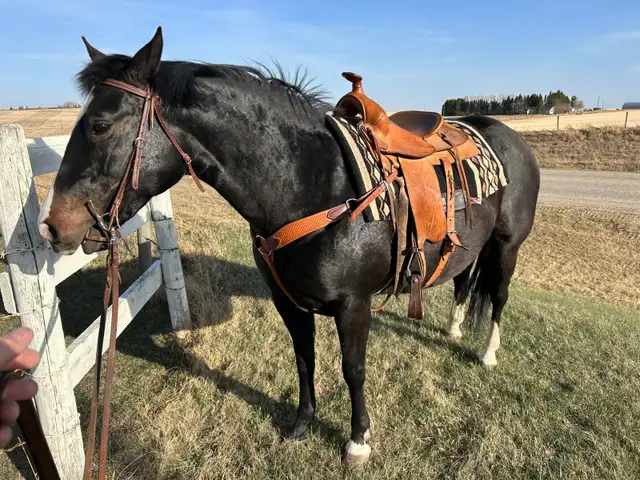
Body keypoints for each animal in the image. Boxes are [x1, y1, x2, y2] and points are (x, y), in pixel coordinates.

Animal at [38, 27, 540, 466]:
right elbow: (304, 360)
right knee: (461, 282)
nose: (52, 227)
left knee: (497, 296)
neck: (313, 186)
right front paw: (301, 425)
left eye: (100, 126)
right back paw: (454, 329)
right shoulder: (288, 301)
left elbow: (353, 368)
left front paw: (358, 441)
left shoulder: (353, 305)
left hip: (507, 246)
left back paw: (488, 353)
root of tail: (508, 135)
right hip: (469, 245)